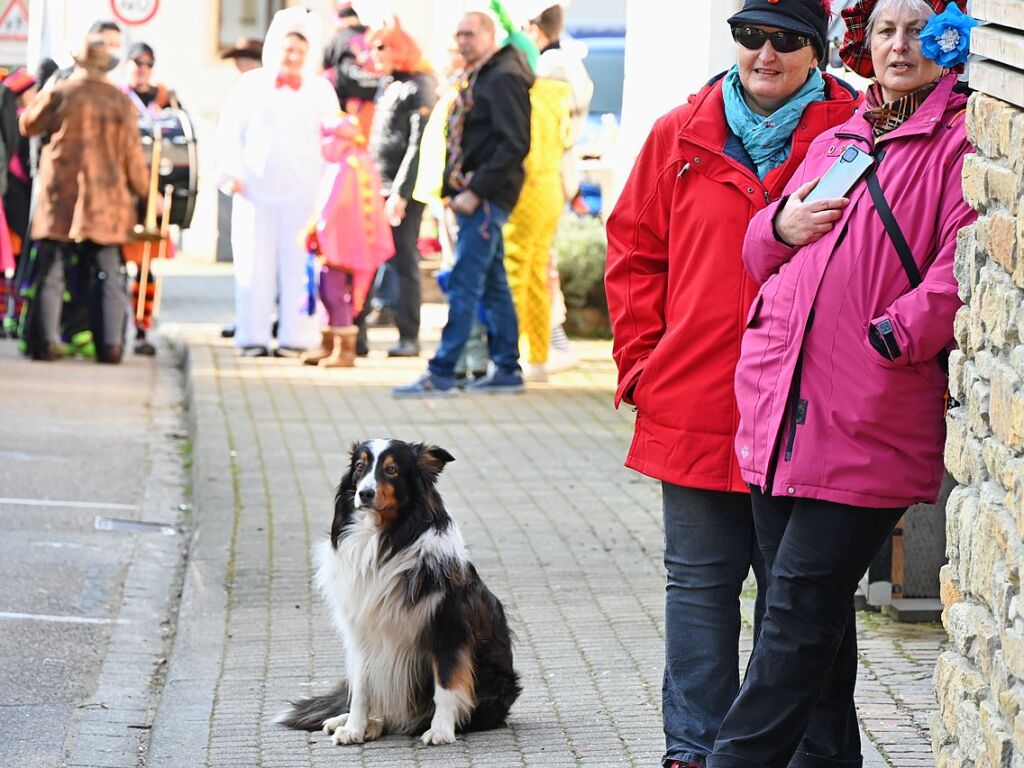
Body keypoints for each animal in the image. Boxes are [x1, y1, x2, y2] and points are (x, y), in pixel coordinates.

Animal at [276, 438, 520, 745]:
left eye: (391, 470)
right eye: (360, 466)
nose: (364, 493)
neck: (384, 541)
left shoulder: (449, 627)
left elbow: (446, 683)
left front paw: (441, 730)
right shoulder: (361, 631)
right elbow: (361, 689)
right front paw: (354, 728)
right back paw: (353, 722)